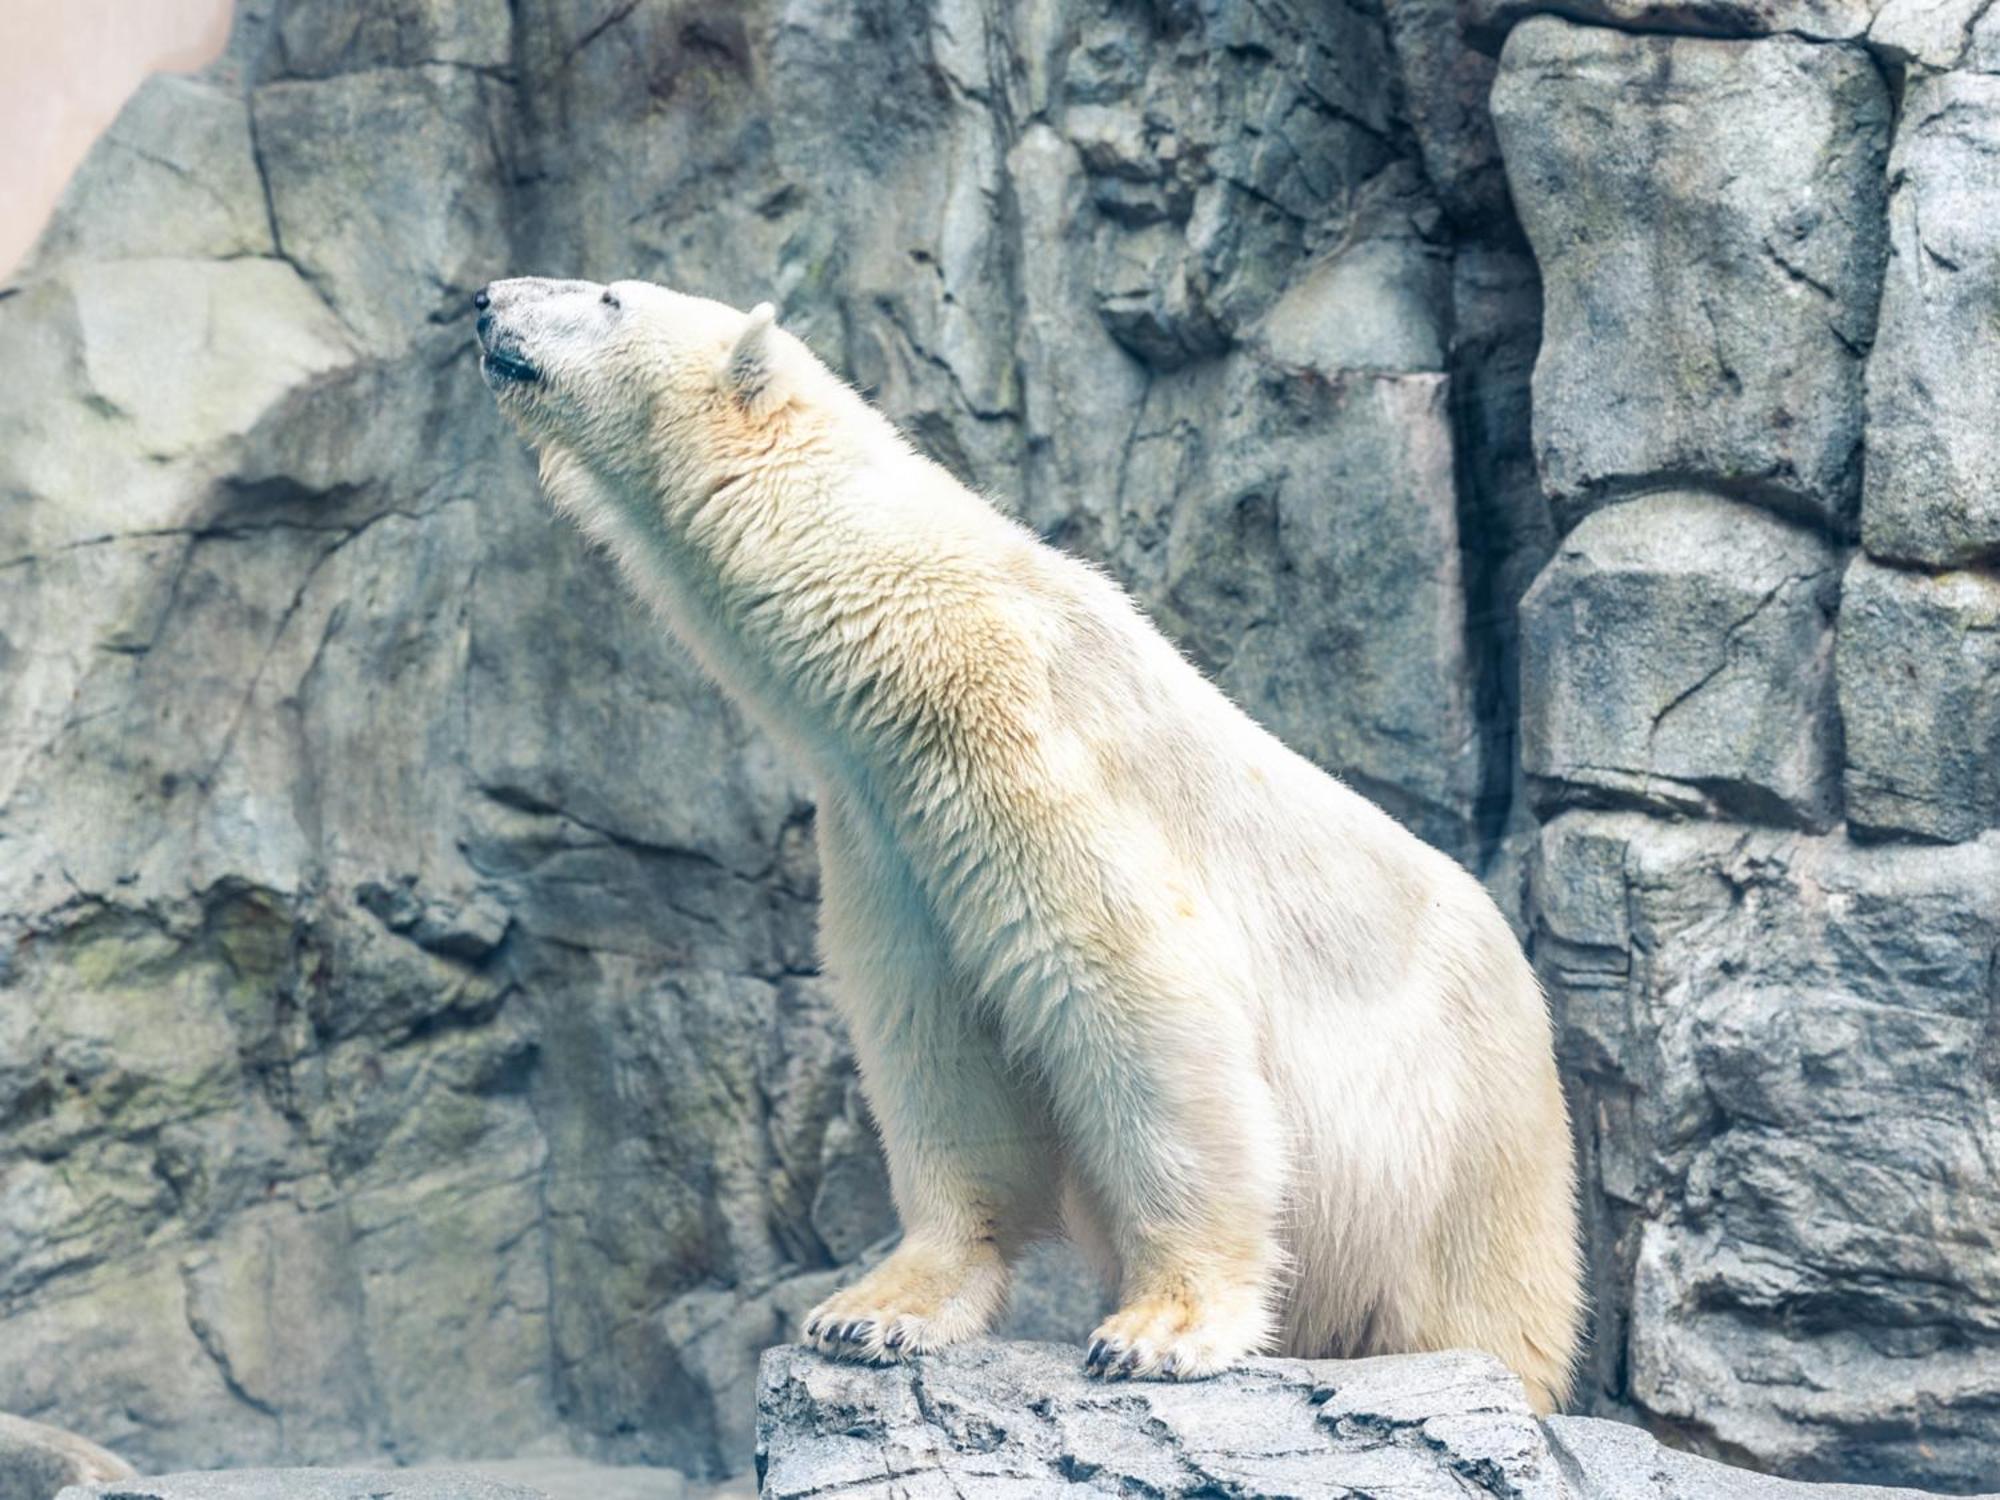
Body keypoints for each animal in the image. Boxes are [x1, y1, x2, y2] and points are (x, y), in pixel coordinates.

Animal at [476, 276, 1584, 1416]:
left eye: (609, 296)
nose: (485, 298)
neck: (913, 621)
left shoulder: (1029, 754)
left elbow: (1146, 1006)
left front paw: (1157, 1329)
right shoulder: (888, 833)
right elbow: (937, 1040)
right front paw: (870, 1312)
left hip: (1469, 1155)